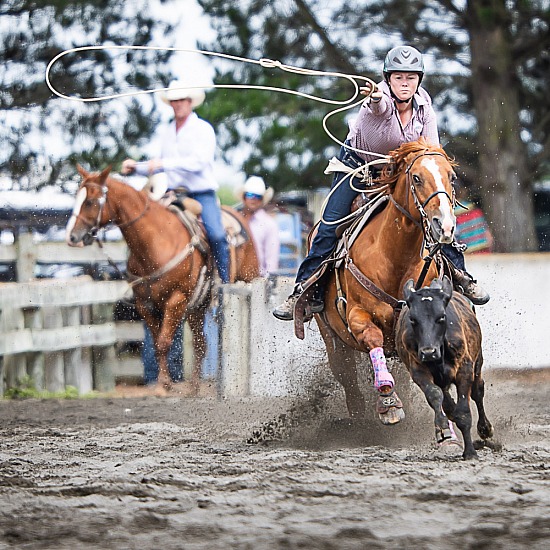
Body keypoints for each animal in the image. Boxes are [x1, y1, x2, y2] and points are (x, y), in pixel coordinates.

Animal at [66, 166, 260, 394]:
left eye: (90, 201)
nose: (72, 237)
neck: (156, 241)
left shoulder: (176, 300)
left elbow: (164, 342)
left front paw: (164, 385)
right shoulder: (145, 304)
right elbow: (158, 343)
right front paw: (163, 383)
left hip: (245, 280)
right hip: (197, 308)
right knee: (200, 343)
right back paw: (194, 388)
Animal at [314, 140, 462, 424]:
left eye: (451, 177)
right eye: (416, 178)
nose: (445, 226)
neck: (395, 257)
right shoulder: (357, 315)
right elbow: (373, 337)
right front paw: (388, 401)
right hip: (332, 339)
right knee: (348, 378)